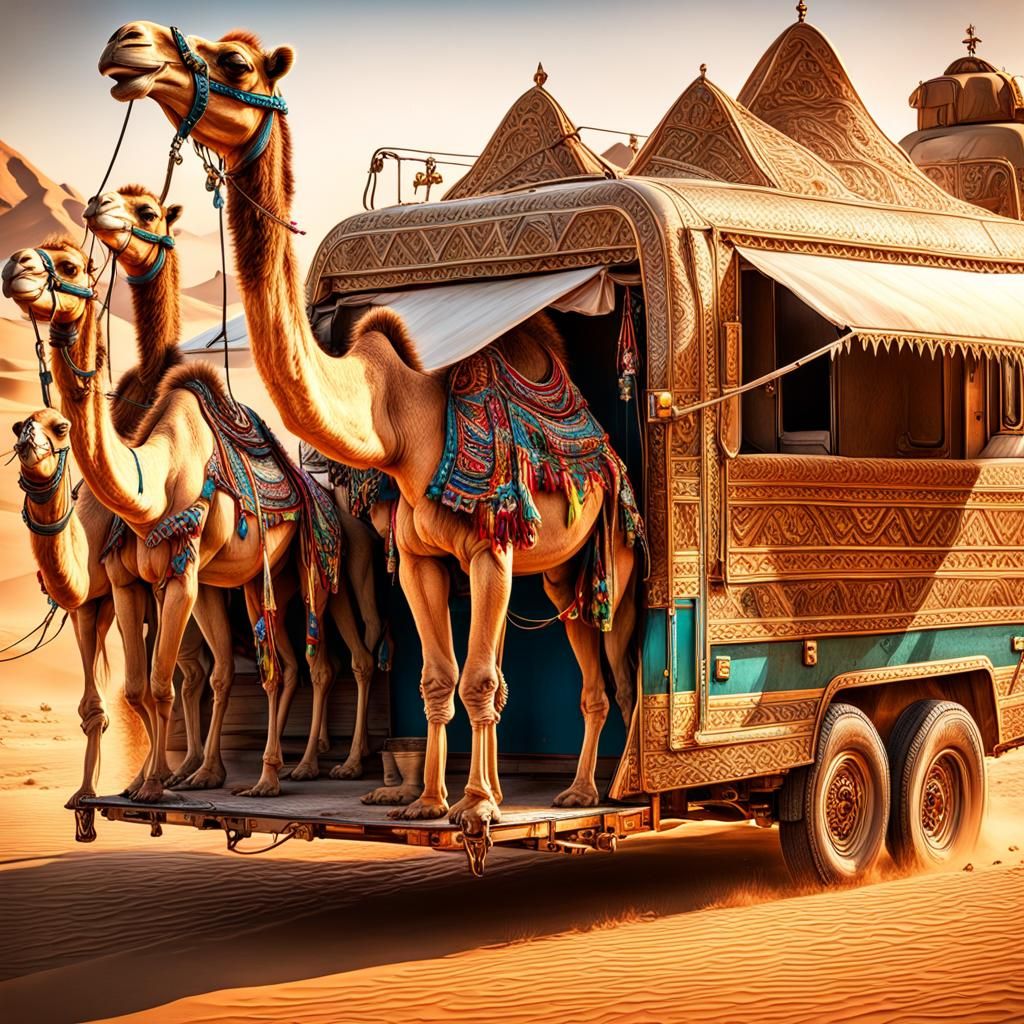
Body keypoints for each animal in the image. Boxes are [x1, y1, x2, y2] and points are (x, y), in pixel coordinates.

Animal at [2, 237, 339, 803]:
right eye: (19, 425)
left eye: (71, 265)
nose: (14, 266)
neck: (150, 490)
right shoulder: (123, 584)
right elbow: (136, 689)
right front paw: (132, 784)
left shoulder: (176, 575)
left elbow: (161, 685)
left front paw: (154, 785)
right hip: (230, 582)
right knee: (235, 669)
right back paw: (212, 773)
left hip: (288, 571)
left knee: (291, 666)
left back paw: (280, 773)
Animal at [100, 23, 643, 834]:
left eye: (236, 63)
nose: (130, 43)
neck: (399, 419)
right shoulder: (418, 558)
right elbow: (441, 677)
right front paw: (428, 800)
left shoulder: (491, 551)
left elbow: (482, 679)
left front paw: (480, 803)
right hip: (564, 572)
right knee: (591, 668)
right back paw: (579, 792)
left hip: (620, 560)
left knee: (627, 666)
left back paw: (611, 789)